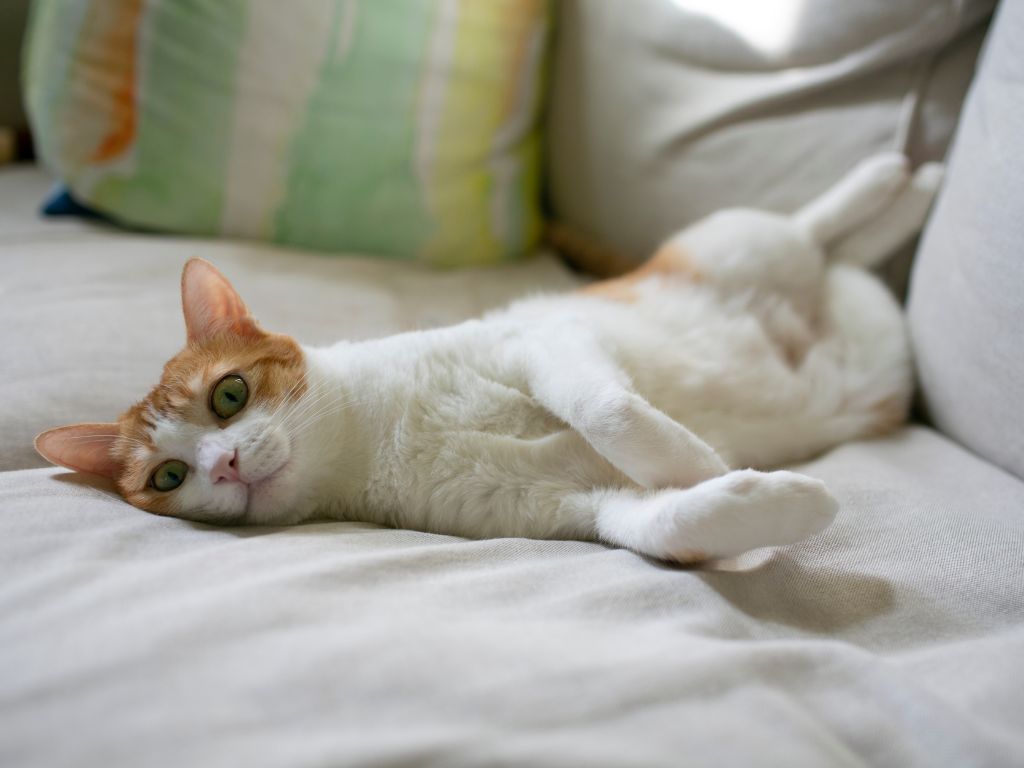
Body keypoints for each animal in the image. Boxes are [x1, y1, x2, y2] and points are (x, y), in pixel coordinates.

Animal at [34, 154, 942, 565]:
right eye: (168, 478)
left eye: (228, 396)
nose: (221, 463)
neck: (379, 437)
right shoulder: (564, 511)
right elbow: (660, 524)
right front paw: (769, 503)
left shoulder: (541, 343)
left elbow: (610, 409)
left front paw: (693, 458)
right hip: (873, 357)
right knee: (855, 267)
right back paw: (912, 194)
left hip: (738, 247)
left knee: (811, 228)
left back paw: (896, 180)